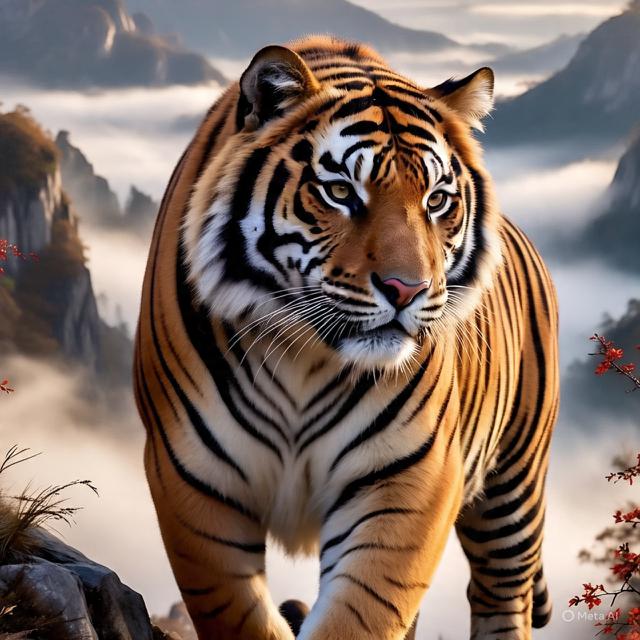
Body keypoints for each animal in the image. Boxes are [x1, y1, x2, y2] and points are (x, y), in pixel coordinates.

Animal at [134, 35, 559, 640]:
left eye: (436, 201)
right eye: (339, 192)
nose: (407, 289)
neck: (304, 357)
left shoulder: (409, 481)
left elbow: (360, 615)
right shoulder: (192, 476)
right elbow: (241, 615)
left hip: (513, 490)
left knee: (502, 594)